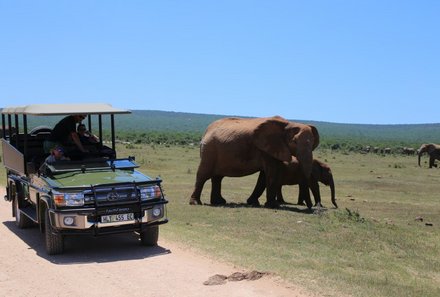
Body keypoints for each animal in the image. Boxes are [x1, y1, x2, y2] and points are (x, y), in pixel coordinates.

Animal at [189, 115, 320, 208]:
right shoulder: (266, 148)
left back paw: (219, 202)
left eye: (313, 143)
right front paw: (273, 206)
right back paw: (196, 203)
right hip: (209, 150)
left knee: (218, 177)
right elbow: (272, 173)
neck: (289, 123)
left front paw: (253, 203)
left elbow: (264, 176)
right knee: (203, 175)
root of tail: (206, 131)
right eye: (294, 142)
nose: (311, 208)